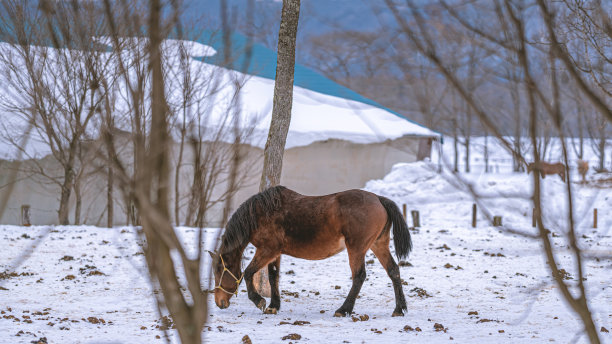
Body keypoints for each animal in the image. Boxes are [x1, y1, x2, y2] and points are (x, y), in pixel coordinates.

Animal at [210, 185, 412, 318]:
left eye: (220, 270)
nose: (219, 302)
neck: (260, 214)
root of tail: (378, 199)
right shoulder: (276, 253)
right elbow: (273, 276)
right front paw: (274, 305)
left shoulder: (267, 250)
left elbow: (248, 272)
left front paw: (259, 300)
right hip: (378, 245)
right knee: (393, 271)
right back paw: (399, 309)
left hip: (357, 248)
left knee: (359, 276)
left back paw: (344, 309)